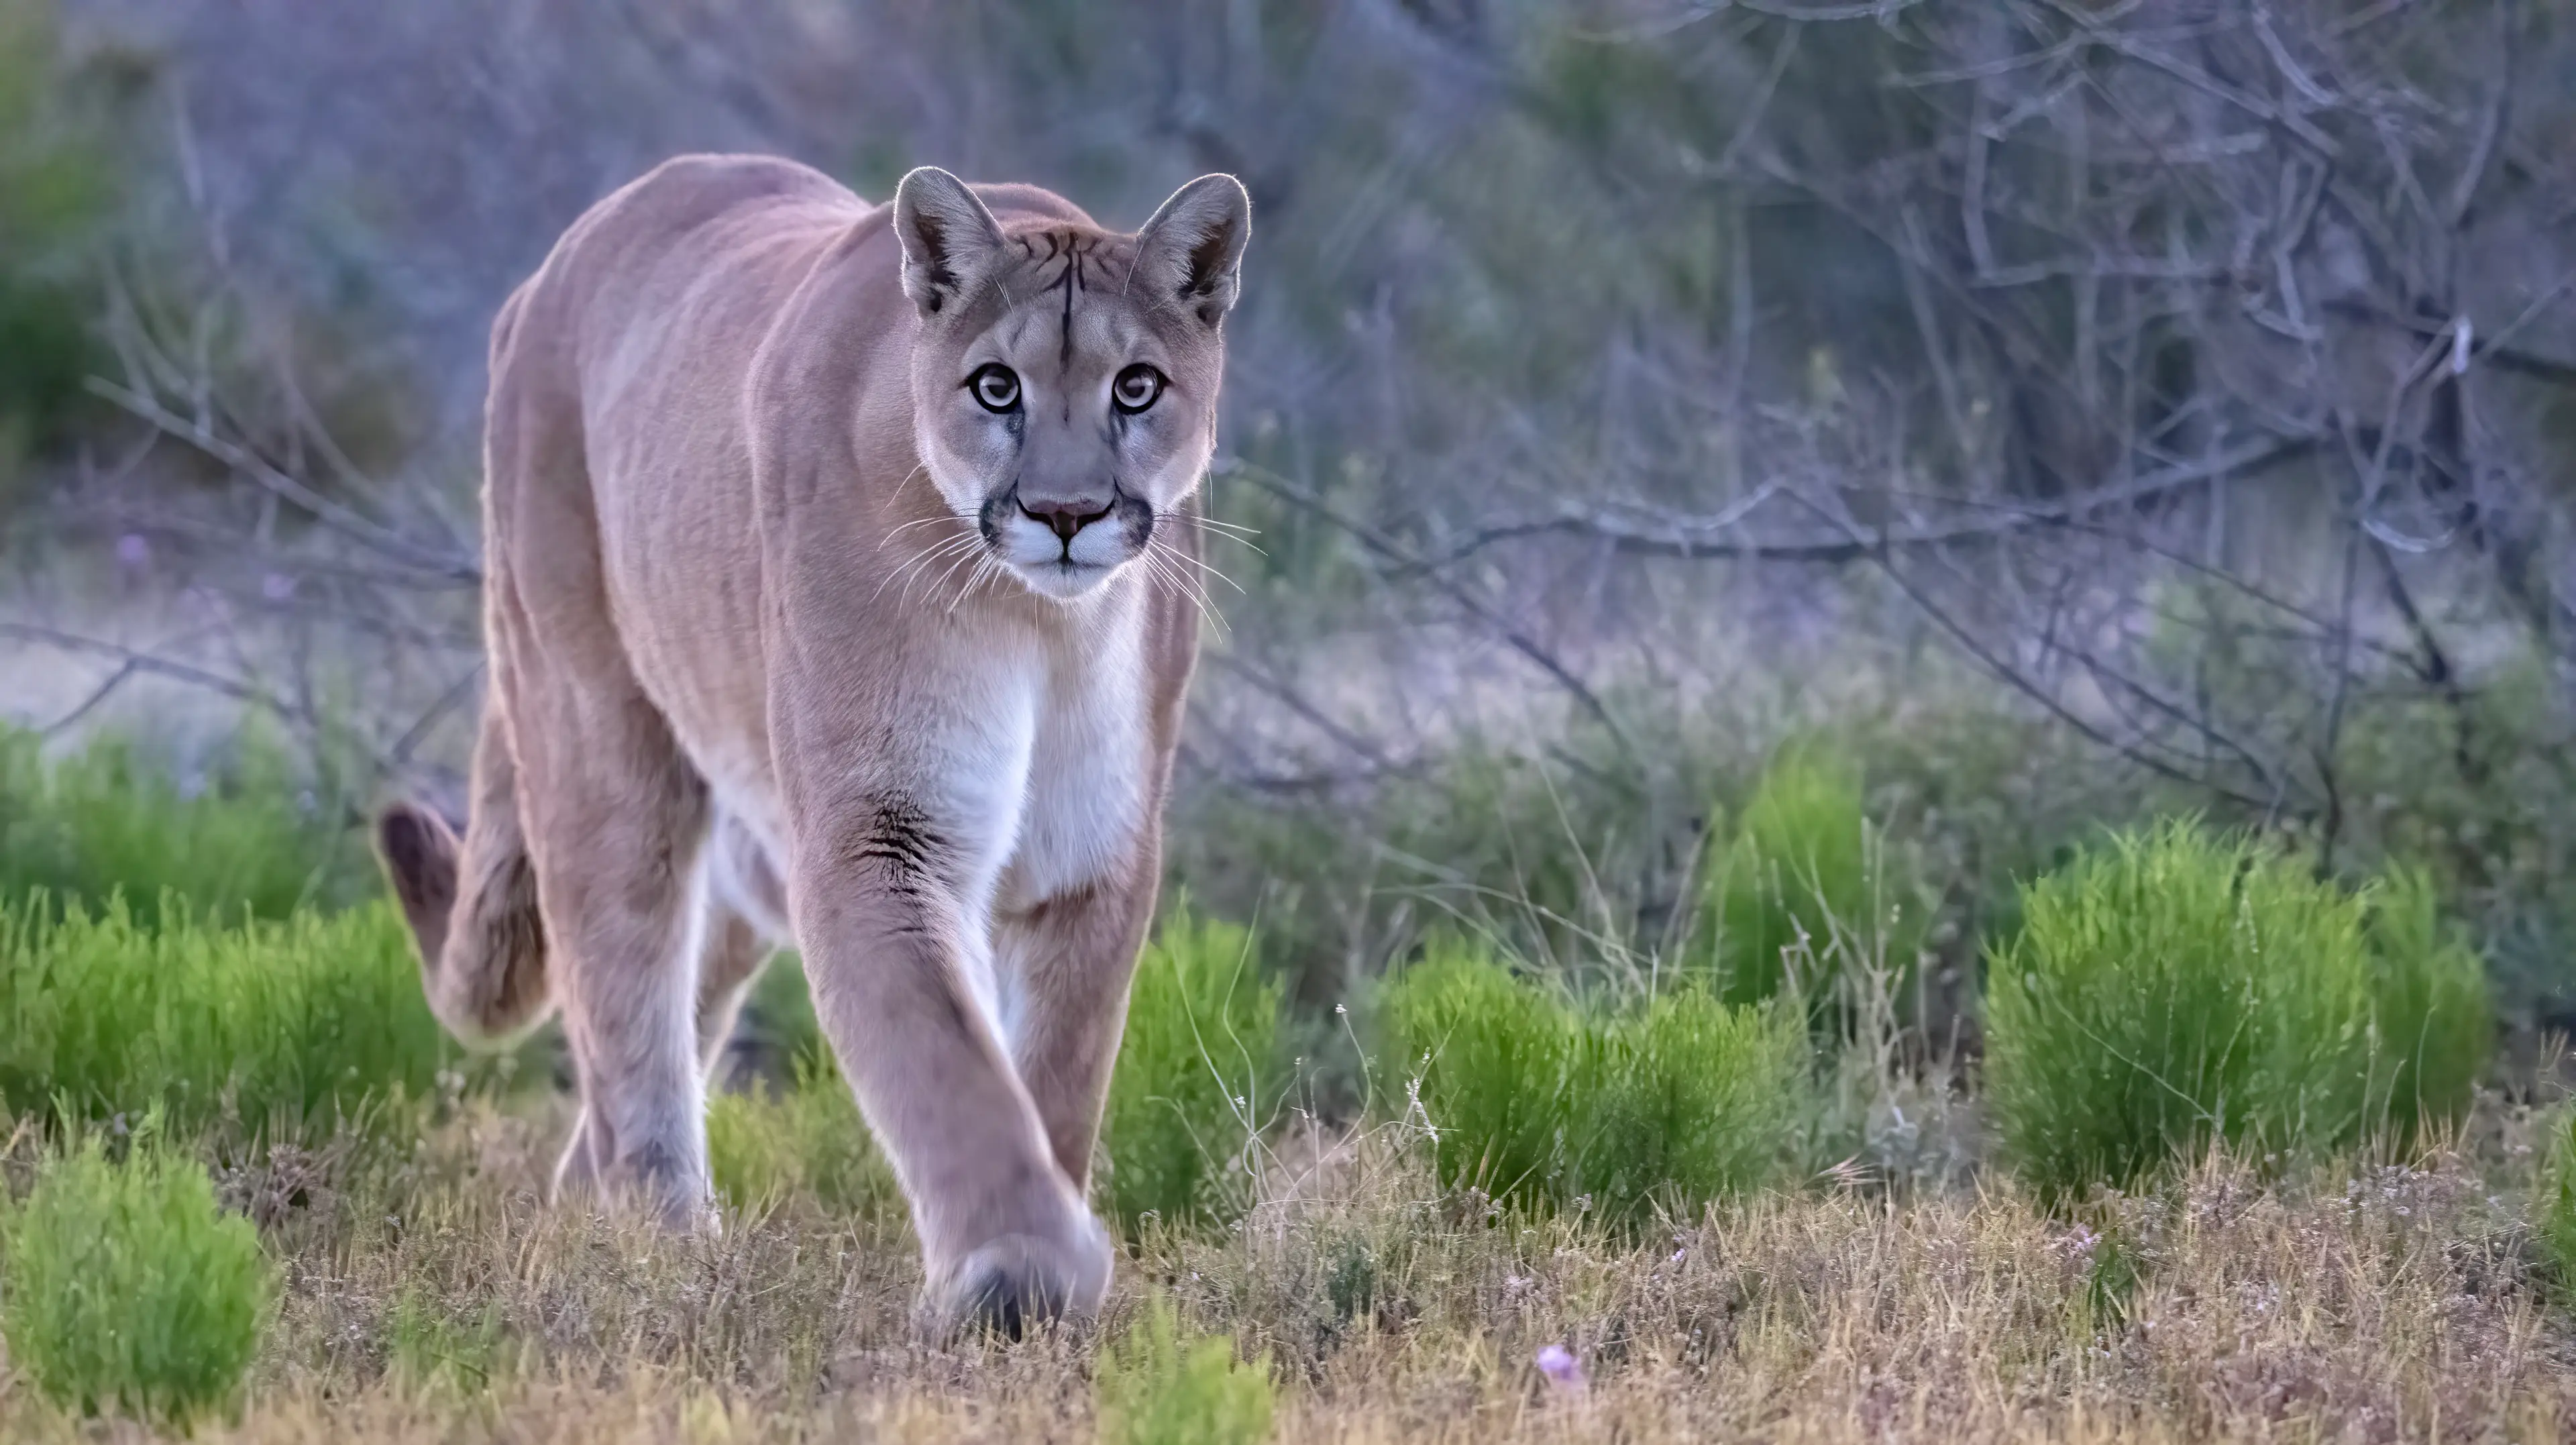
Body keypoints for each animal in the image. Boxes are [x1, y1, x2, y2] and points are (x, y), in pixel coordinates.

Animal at [372, 154, 1248, 1333]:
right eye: (997, 388)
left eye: (1137, 387)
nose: (1066, 513)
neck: (1039, 622)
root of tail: (565, 255)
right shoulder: (879, 835)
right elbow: (949, 1066)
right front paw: (1020, 1272)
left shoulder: (1091, 857)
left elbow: (1056, 1073)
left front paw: (1038, 1286)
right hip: (598, 735)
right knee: (626, 1006)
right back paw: (660, 1246)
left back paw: (589, 1213)